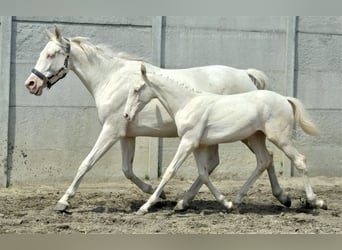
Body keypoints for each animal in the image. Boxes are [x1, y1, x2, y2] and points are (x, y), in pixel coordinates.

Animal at [24, 25, 286, 213]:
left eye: (51, 54)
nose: (31, 83)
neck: (111, 79)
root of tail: (245, 75)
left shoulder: (110, 131)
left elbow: (86, 163)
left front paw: (63, 202)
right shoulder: (126, 135)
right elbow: (127, 170)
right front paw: (158, 194)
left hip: (243, 134)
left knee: (264, 158)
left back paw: (275, 198)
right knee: (237, 161)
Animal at [124, 64, 328, 215]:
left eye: (136, 89)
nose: (126, 115)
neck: (187, 103)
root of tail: (285, 99)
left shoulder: (188, 142)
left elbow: (170, 172)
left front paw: (144, 208)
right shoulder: (197, 145)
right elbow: (204, 173)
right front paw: (225, 204)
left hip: (280, 138)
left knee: (299, 160)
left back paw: (316, 201)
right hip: (256, 137)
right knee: (264, 160)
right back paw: (238, 200)